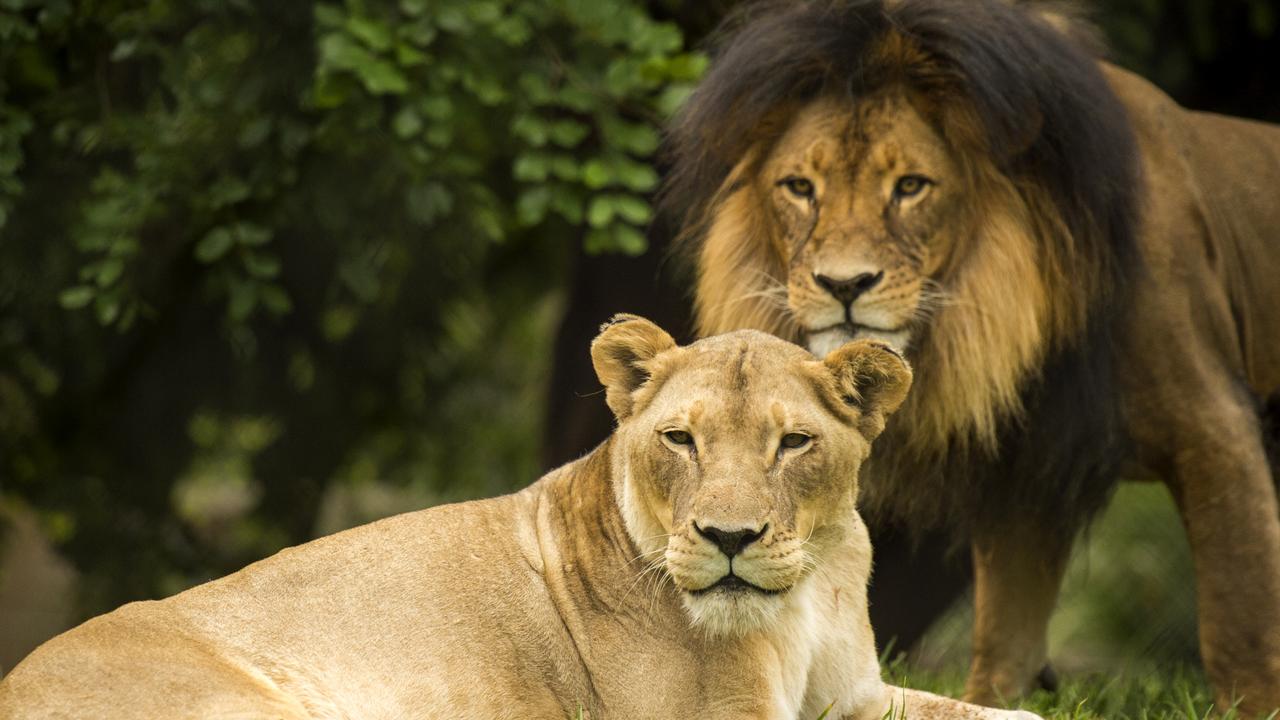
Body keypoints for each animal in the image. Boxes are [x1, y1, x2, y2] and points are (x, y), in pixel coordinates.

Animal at [0, 315, 1039, 717]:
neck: (805, 596)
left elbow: (1009, 713)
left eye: (793, 444)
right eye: (681, 440)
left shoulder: (856, 696)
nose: (730, 541)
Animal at [665, 0, 1280, 712]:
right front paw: (990, 699)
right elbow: (1006, 621)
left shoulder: (1214, 433)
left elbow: (1239, 614)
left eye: (911, 186)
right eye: (799, 187)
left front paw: (1255, 708)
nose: (844, 285)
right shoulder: (1024, 466)